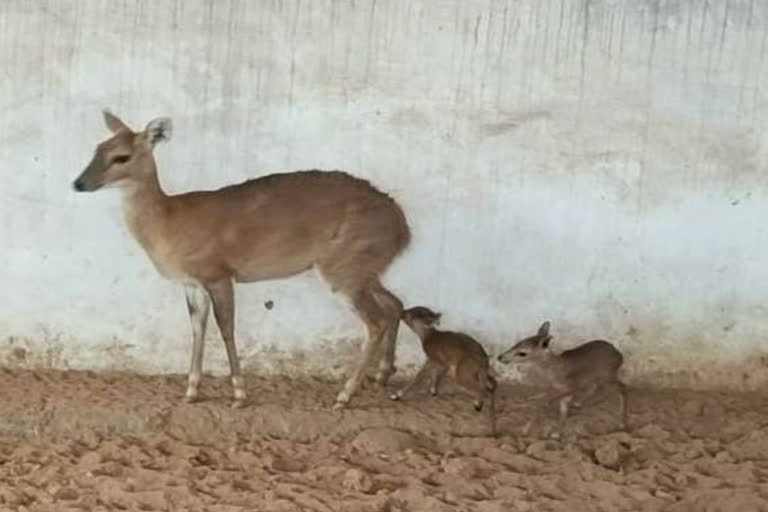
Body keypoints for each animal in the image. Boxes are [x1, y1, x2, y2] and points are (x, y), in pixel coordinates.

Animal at [73, 111, 412, 408]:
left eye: (122, 157)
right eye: (98, 148)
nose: (78, 183)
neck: (169, 223)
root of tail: (402, 227)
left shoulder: (219, 273)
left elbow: (226, 329)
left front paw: (238, 394)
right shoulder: (191, 283)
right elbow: (198, 329)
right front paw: (191, 392)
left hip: (344, 267)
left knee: (375, 321)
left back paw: (344, 395)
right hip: (363, 267)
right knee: (395, 304)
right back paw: (382, 375)